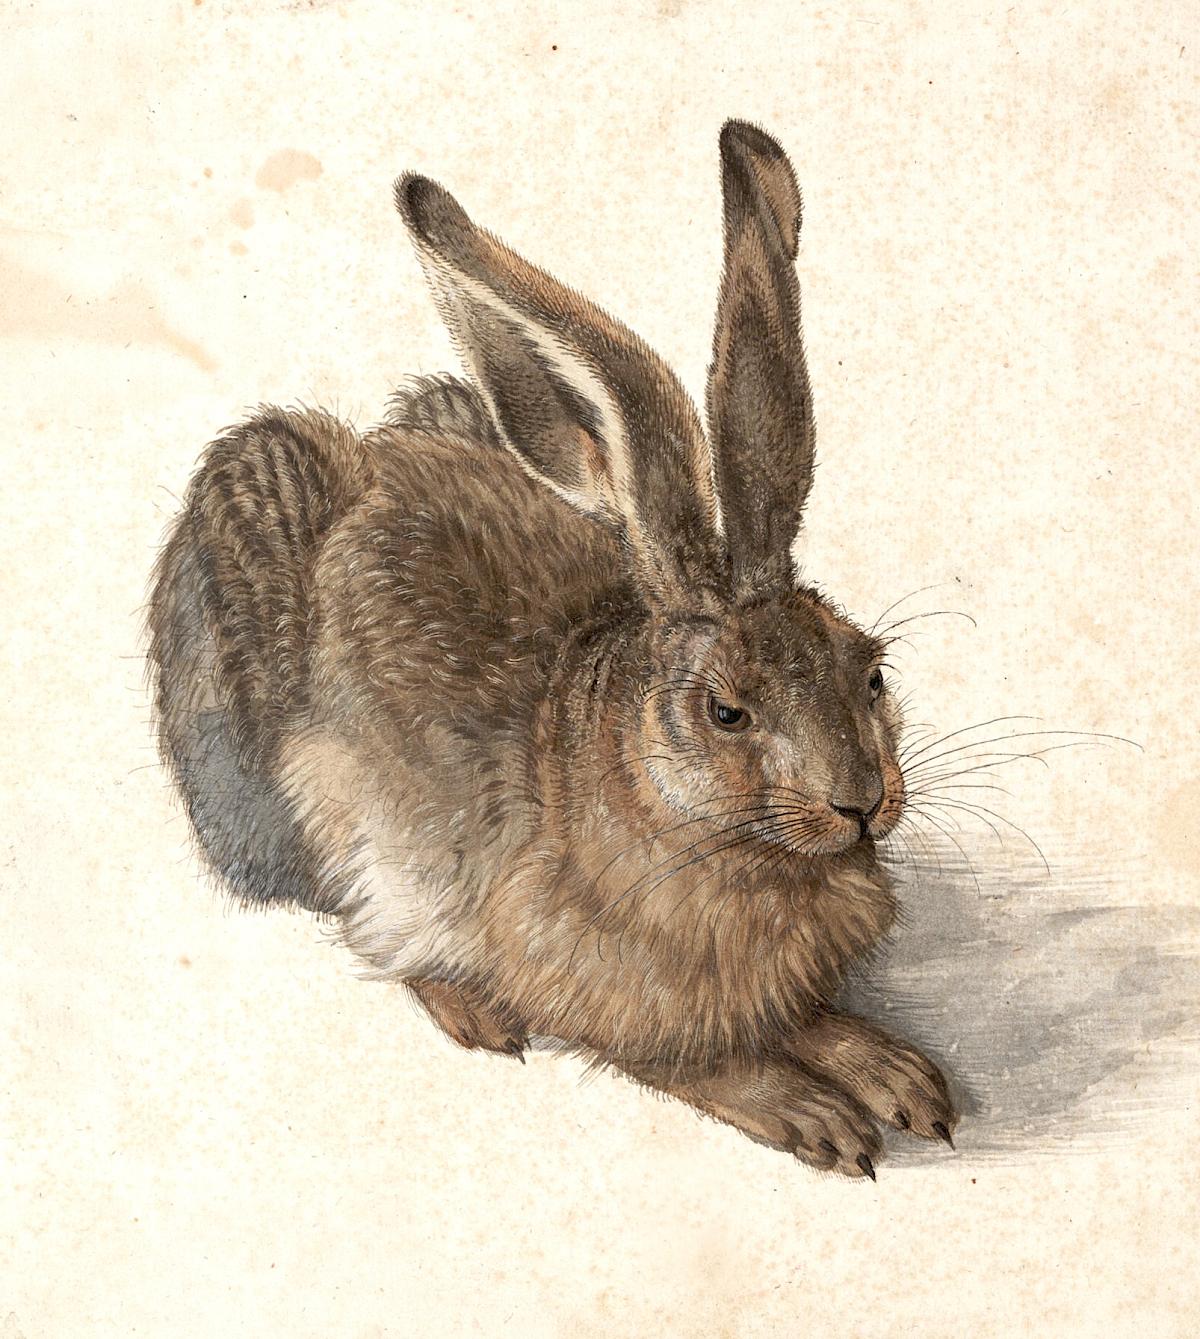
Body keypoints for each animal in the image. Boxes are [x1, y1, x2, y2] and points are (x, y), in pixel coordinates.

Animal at [148, 120, 959, 1179]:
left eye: (871, 671)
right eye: (727, 710)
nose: (861, 802)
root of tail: (374, 460)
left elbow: (811, 1018)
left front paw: (901, 1075)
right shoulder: (592, 981)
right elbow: (698, 1058)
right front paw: (815, 1111)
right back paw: (468, 1006)